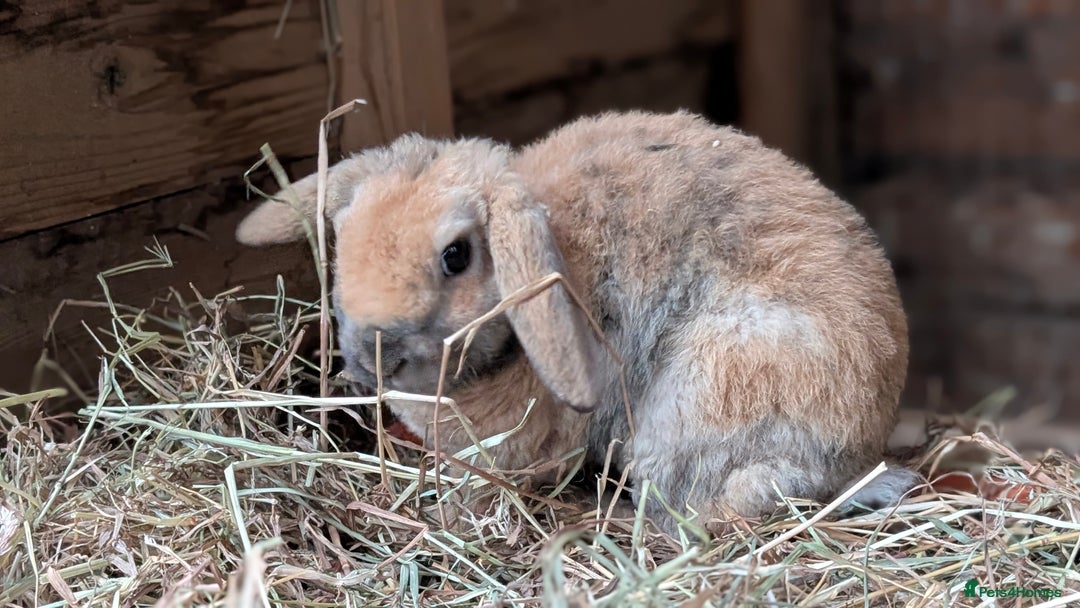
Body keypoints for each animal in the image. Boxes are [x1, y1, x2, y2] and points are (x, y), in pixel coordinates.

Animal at [235, 110, 922, 534]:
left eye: (456, 255)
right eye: (343, 236)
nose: (369, 358)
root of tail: (863, 446)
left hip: (709, 391)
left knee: (717, 506)